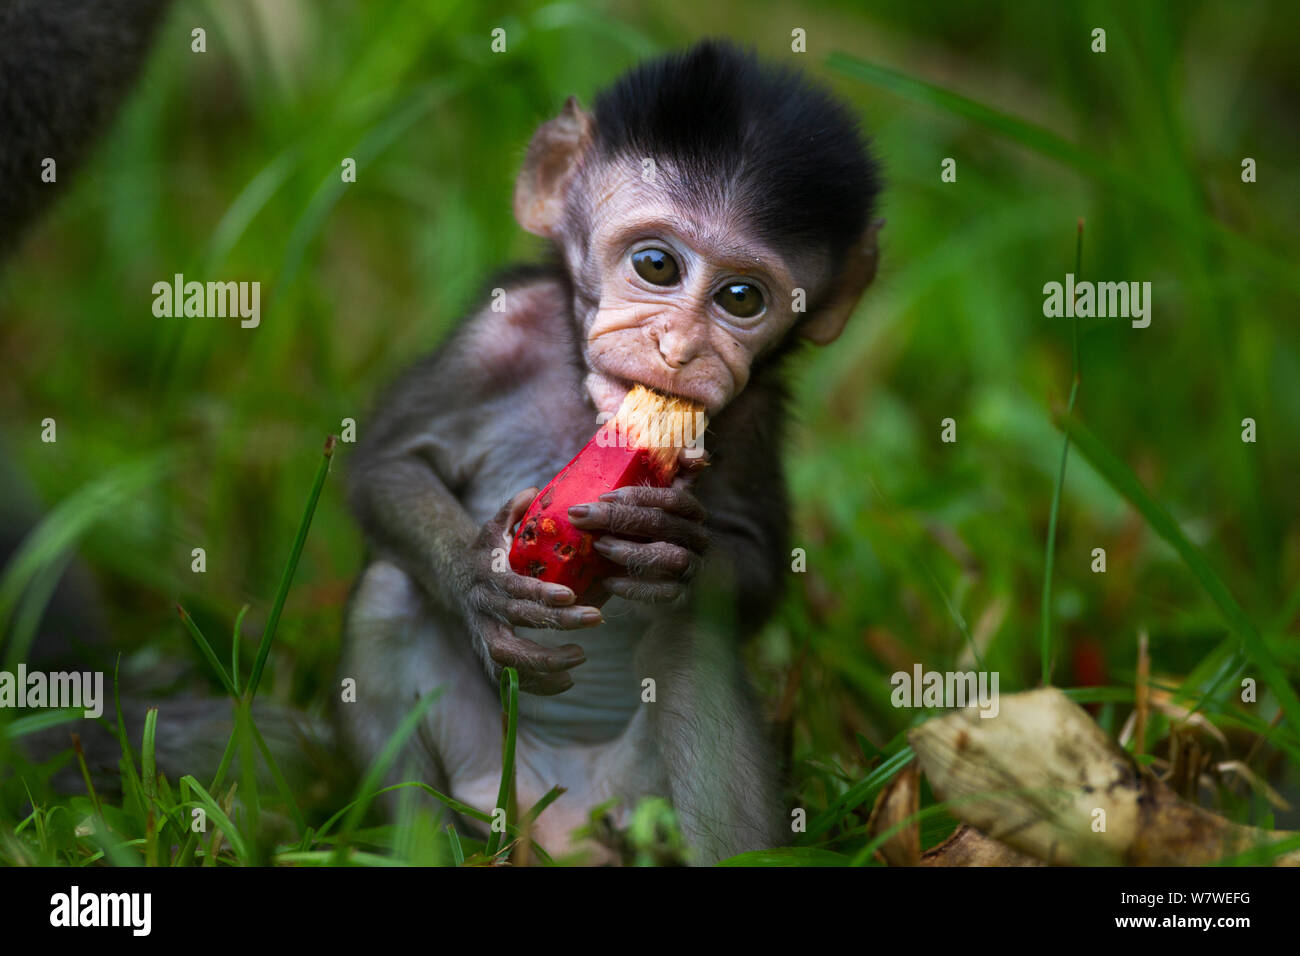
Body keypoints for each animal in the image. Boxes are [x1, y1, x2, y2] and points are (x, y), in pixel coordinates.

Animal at [343, 39, 883, 868]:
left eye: (742, 299)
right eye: (657, 266)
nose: (679, 347)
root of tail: (561, 824)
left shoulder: (756, 414)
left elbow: (757, 566)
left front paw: (665, 545)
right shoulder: (492, 336)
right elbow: (387, 465)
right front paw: (475, 576)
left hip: (632, 800)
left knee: (689, 648)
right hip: (488, 783)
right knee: (388, 596)